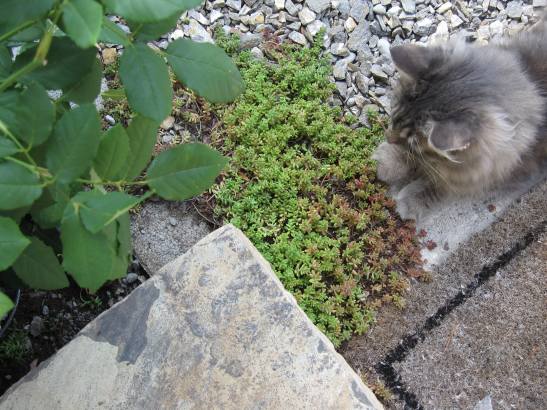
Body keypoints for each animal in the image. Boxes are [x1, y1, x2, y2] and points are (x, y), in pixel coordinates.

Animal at [373, 17, 547, 221]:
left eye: (413, 143)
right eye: (394, 117)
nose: (388, 138)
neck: (532, 86)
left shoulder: (490, 172)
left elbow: (442, 185)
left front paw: (410, 200)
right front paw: (388, 161)